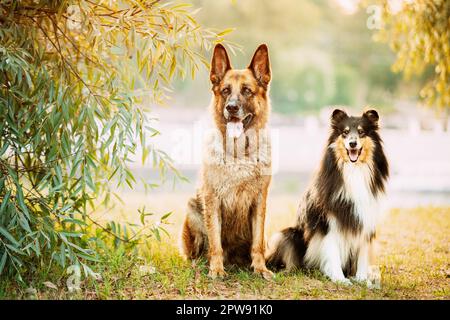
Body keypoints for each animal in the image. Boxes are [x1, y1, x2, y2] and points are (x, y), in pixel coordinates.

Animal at [180, 43, 272, 278]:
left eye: (247, 91)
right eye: (225, 91)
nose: (231, 108)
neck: (239, 154)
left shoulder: (259, 202)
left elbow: (257, 243)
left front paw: (260, 268)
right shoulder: (212, 200)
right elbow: (215, 242)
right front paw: (216, 269)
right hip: (193, 208)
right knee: (196, 252)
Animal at [266, 109, 388, 284]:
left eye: (361, 132)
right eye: (345, 133)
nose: (352, 144)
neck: (353, 170)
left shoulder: (366, 219)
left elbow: (362, 254)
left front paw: (362, 279)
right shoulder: (329, 222)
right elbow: (332, 251)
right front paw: (340, 279)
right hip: (287, 235)